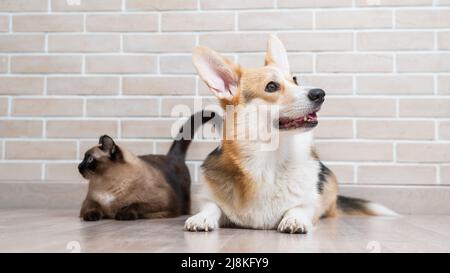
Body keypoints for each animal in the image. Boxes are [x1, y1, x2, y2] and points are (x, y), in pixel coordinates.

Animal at [185, 35, 396, 233]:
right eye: (271, 86)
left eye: (295, 80)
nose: (320, 93)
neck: (270, 160)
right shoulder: (208, 197)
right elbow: (212, 206)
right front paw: (201, 217)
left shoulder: (309, 203)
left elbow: (299, 207)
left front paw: (294, 220)